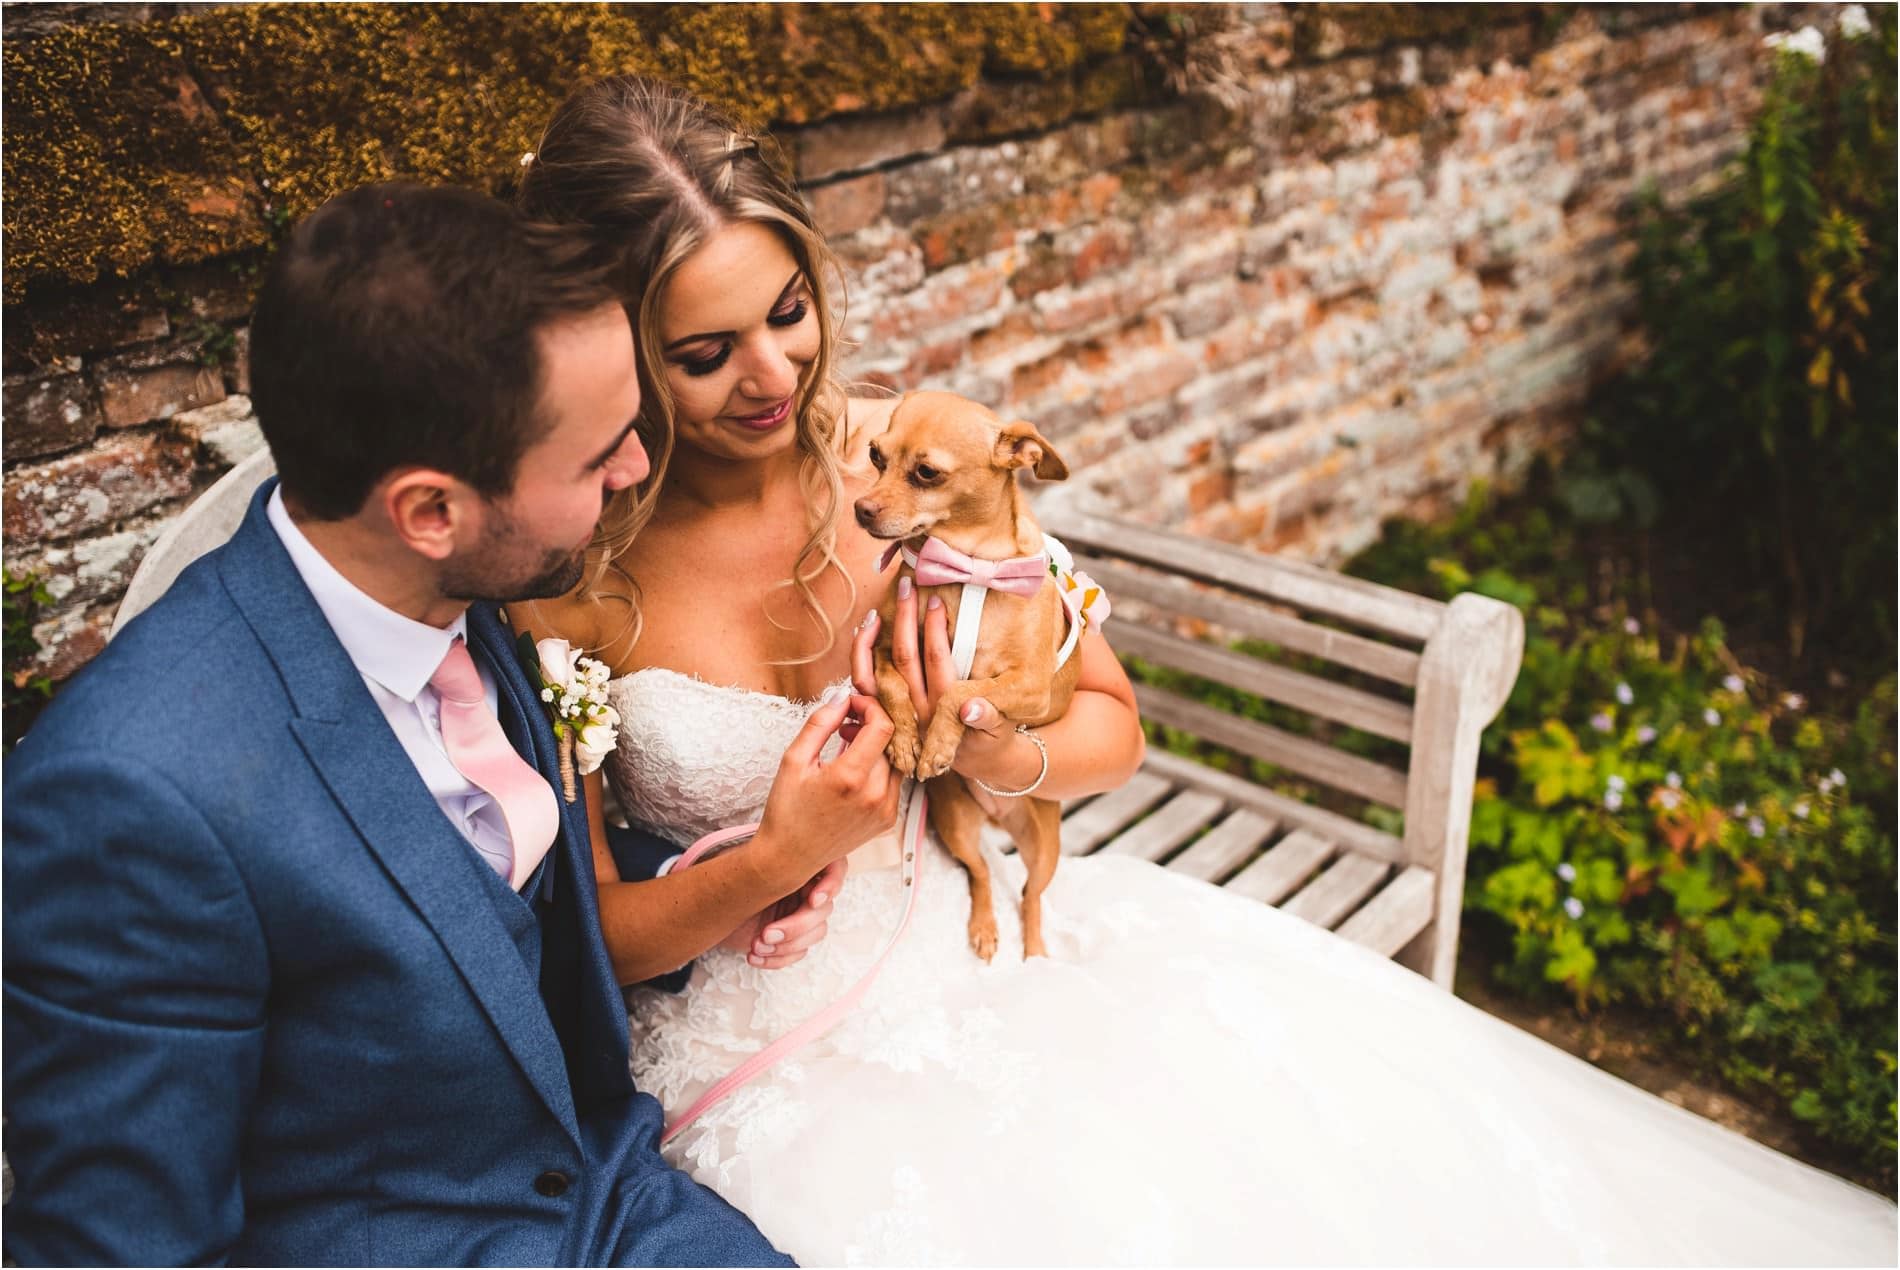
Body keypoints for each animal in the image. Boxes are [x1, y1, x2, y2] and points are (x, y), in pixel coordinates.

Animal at [851, 391, 1079, 958]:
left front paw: (936, 744)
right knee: (980, 875)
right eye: (875, 456)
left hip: (1044, 846)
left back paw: (1035, 953)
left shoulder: (1030, 688)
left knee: (1031, 894)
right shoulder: (884, 648)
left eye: (926, 472)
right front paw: (906, 742)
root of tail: (998, 817)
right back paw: (983, 928)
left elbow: (959, 693)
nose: (861, 509)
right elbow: (894, 685)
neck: (968, 570)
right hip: (955, 825)